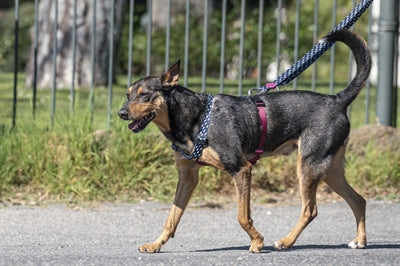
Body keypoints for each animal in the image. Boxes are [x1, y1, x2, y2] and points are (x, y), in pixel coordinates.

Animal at [119, 29, 372, 254]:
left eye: (144, 95)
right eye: (128, 94)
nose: (121, 113)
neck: (196, 118)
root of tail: (337, 99)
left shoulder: (241, 169)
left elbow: (242, 216)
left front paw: (257, 242)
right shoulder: (188, 176)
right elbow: (172, 217)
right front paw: (155, 245)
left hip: (308, 167)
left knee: (310, 210)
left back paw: (286, 242)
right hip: (329, 170)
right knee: (359, 200)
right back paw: (359, 241)